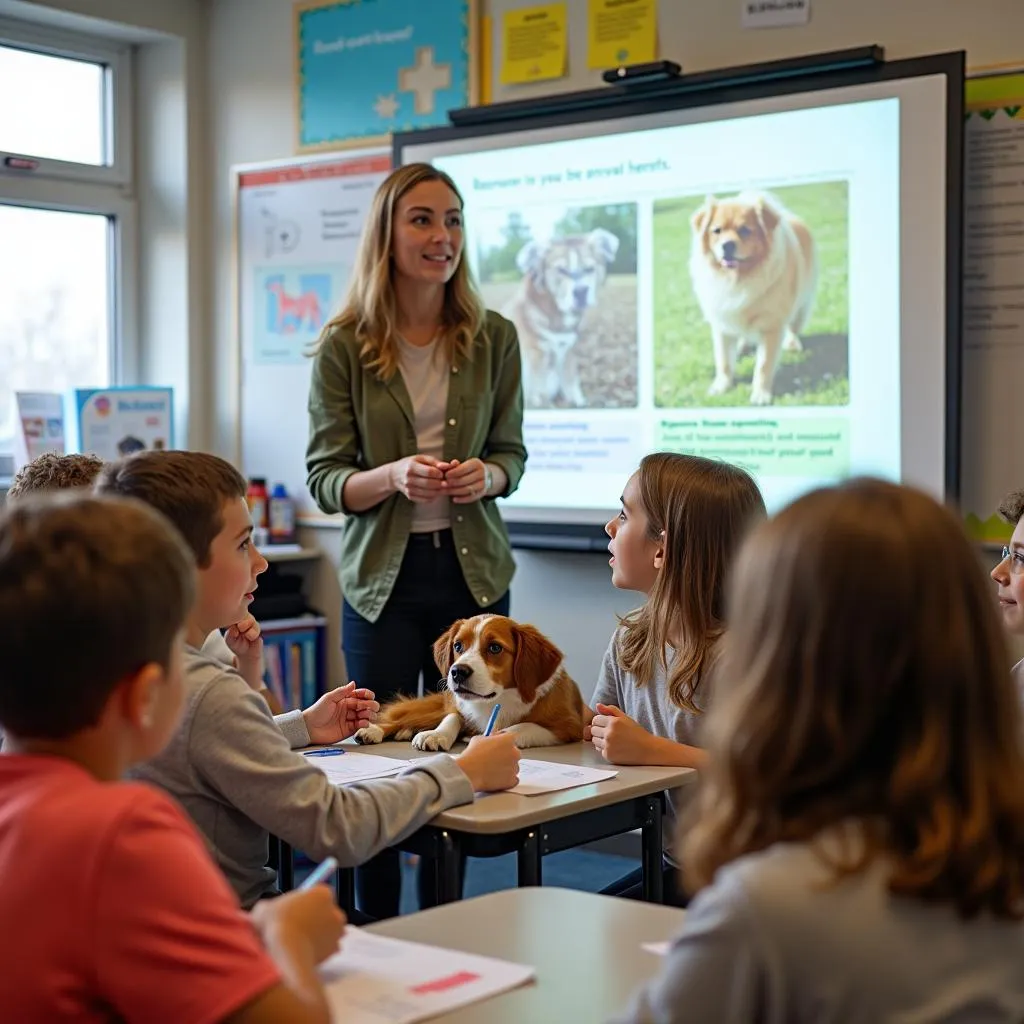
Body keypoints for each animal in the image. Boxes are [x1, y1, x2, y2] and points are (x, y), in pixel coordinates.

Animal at [354, 614, 585, 753]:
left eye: (494, 648)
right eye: (458, 645)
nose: (457, 672)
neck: (499, 699)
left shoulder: (570, 725)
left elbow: (522, 726)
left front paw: (495, 739)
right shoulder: (456, 706)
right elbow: (452, 718)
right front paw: (437, 734)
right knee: (400, 718)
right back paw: (374, 730)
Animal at [501, 230, 618, 409]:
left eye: (589, 269)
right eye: (561, 270)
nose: (581, 292)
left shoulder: (569, 350)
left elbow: (571, 381)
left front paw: (579, 402)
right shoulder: (536, 355)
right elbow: (538, 390)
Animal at [688, 192, 815, 403]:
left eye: (745, 231)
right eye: (717, 231)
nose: (727, 245)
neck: (738, 279)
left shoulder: (771, 326)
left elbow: (763, 365)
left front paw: (761, 395)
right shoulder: (722, 323)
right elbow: (723, 361)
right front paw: (721, 386)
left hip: (801, 305)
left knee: (794, 327)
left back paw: (792, 344)